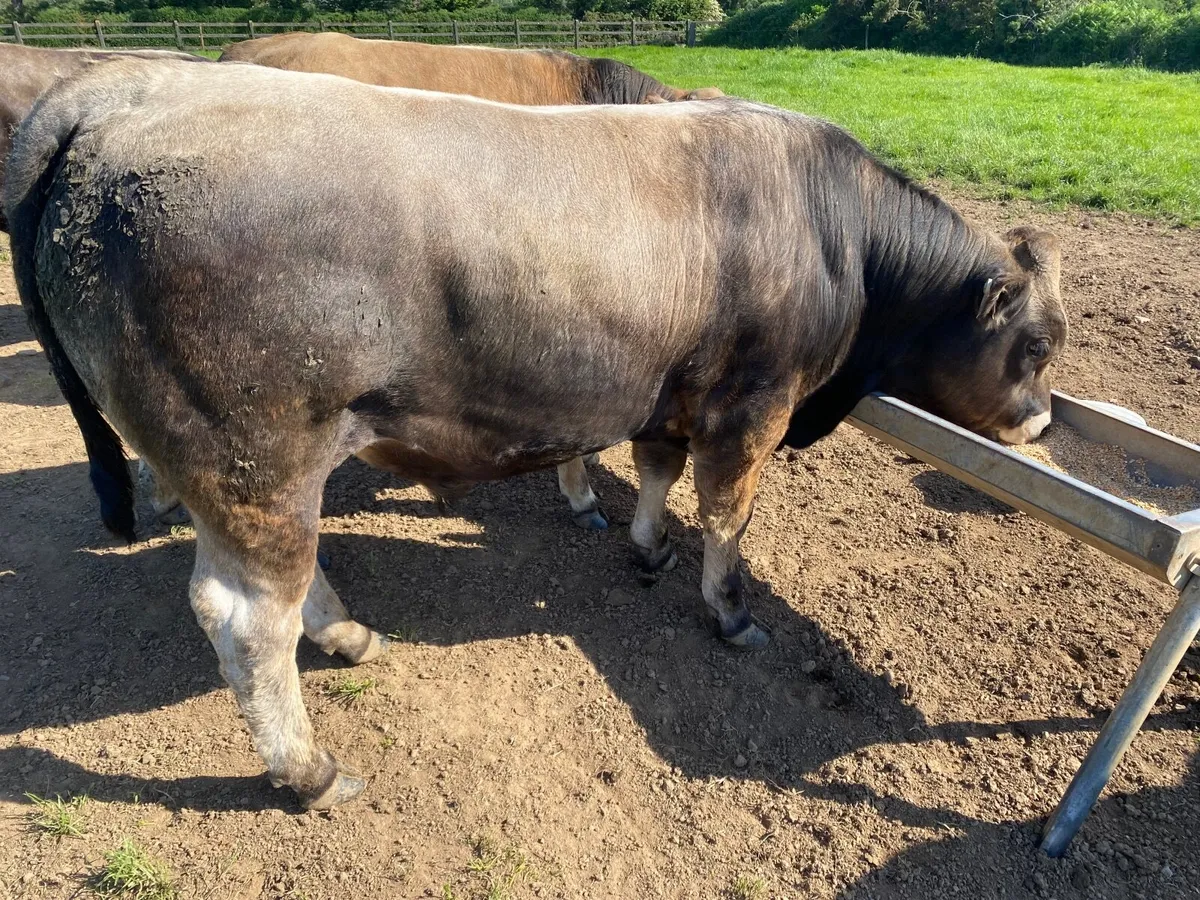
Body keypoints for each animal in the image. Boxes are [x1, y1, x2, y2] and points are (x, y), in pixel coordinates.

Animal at [5, 59, 1065, 810]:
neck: (832, 228)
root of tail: (118, 95)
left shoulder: (669, 391)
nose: (1044, 420)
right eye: (1037, 344)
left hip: (233, 468)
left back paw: (345, 633)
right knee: (245, 616)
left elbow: (655, 468)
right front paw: (728, 611)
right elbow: (728, 520)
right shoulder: (752, 405)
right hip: (255, 457)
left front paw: (645, 545)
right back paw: (309, 770)